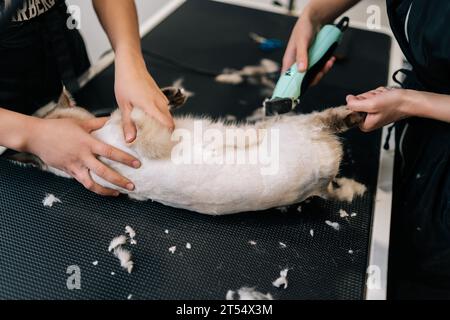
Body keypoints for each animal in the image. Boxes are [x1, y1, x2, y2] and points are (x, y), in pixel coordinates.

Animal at [13, 87, 370, 215]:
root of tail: (323, 179)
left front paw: (172, 94)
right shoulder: (145, 135)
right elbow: (138, 113)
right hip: (301, 125)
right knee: (332, 120)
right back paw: (359, 112)